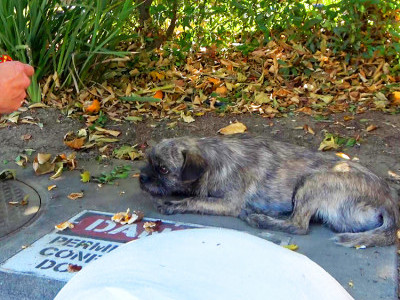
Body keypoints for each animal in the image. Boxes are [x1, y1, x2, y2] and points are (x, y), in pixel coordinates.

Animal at [139, 135, 398, 247]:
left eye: (163, 169)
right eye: (148, 162)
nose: (142, 177)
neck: (214, 160)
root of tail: (389, 203)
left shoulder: (228, 203)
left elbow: (194, 200)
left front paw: (172, 205)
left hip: (314, 181)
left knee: (299, 225)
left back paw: (259, 219)